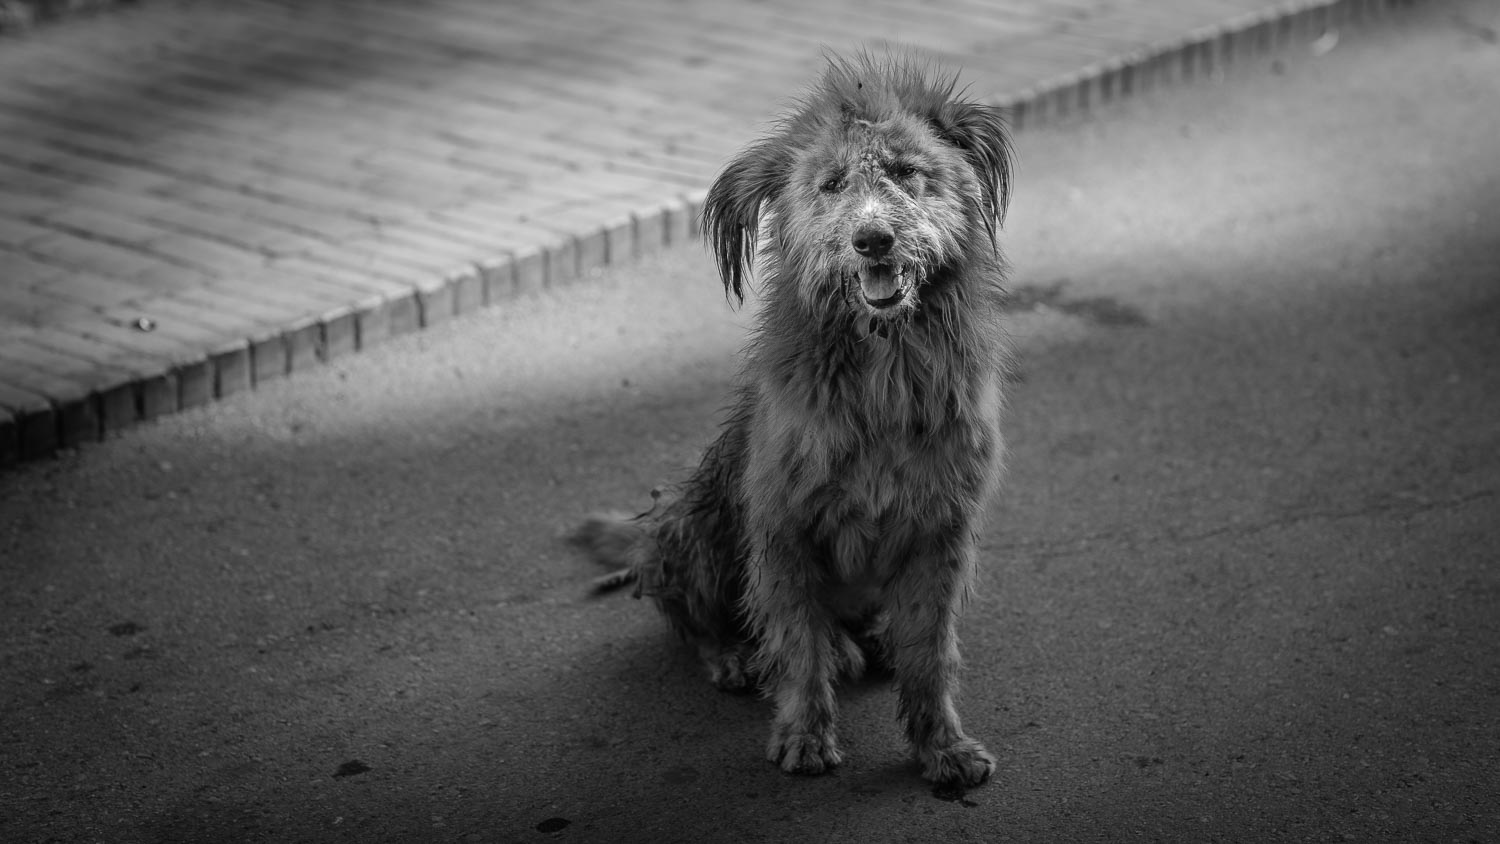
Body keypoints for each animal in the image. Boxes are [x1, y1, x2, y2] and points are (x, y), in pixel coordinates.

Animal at [570, 52, 1008, 791]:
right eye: (830, 184)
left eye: (904, 172)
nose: (873, 239)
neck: (883, 369)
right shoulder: (784, 529)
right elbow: (798, 646)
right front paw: (804, 734)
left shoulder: (940, 532)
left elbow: (931, 654)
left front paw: (942, 747)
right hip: (690, 522)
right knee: (691, 615)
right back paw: (734, 655)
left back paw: (868, 642)